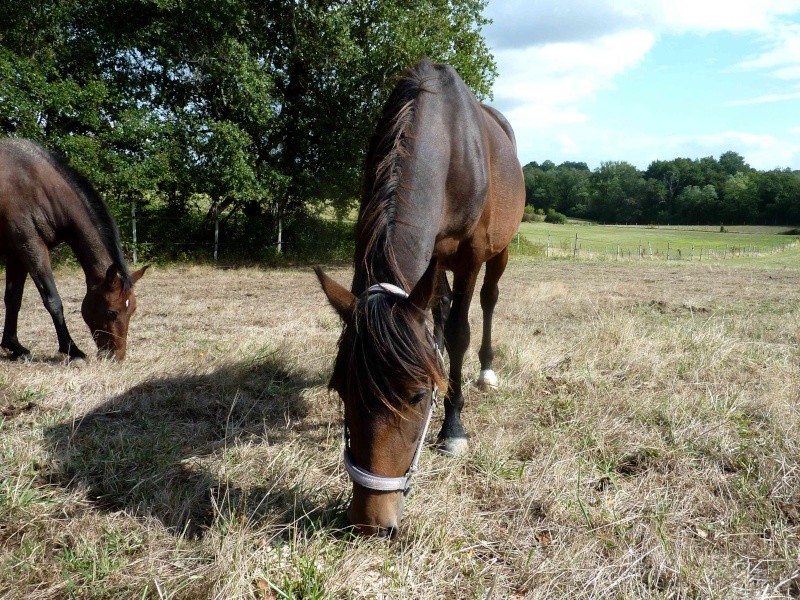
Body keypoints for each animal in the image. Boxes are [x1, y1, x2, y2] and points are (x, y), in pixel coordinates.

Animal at [0, 139, 147, 360]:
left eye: (133, 310)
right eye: (112, 312)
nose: (116, 357)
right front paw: (72, 349)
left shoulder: (16, 254)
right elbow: (53, 301)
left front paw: (14, 346)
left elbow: (13, 299)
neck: (34, 185)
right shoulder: (31, 248)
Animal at [316, 58, 528, 536]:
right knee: (442, 309)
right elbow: (439, 326)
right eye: (341, 388)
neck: (447, 141)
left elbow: (460, 333)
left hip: (499, 251)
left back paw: (485, 372)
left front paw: (453, 430)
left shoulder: (470, 255)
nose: (372, 522)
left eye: (416, 397)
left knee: (488, 301)